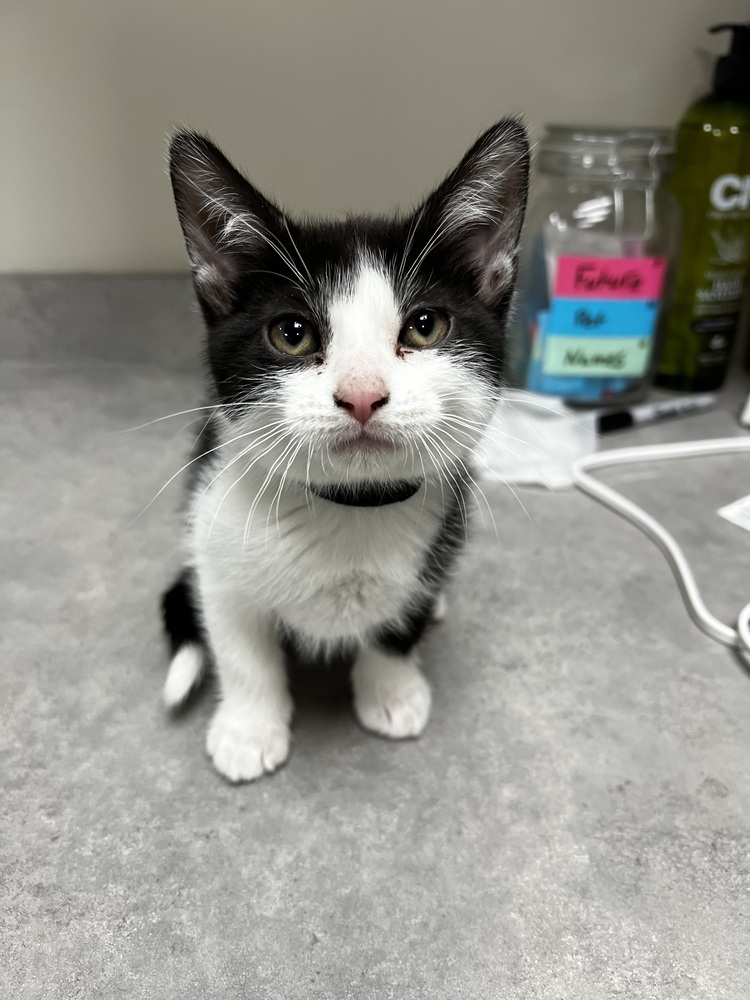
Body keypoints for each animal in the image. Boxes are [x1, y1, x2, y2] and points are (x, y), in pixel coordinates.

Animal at [162, 121, 532, 784]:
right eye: (291, 334)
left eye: (425, 326)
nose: (361, 395)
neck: (350, 507)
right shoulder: (214, 532)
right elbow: (239, 643)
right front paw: (249, 728)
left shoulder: (441, 531)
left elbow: (399, 621)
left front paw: (392, 691)